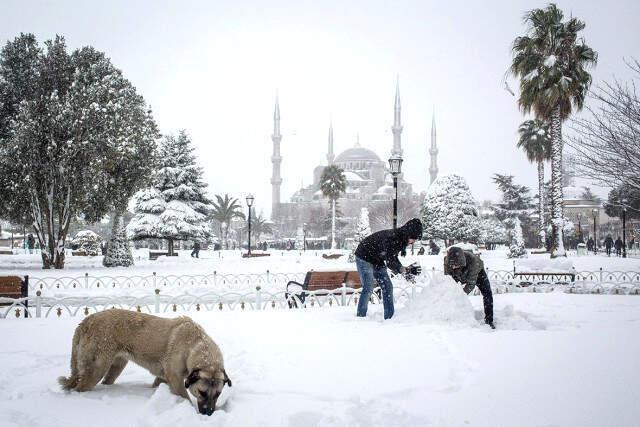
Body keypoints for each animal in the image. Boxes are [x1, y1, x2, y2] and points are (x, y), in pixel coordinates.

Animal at [58, 310, 232, 416]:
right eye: (201, 392)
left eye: (218, 394)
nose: (209, 413)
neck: (195, 346)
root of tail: (85, 322)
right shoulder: (175, 378)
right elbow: (185, 397)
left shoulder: (164, 377)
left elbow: (157, 384)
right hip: (97, 368)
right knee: (80, 388)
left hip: (116, 366)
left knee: (106, 381)